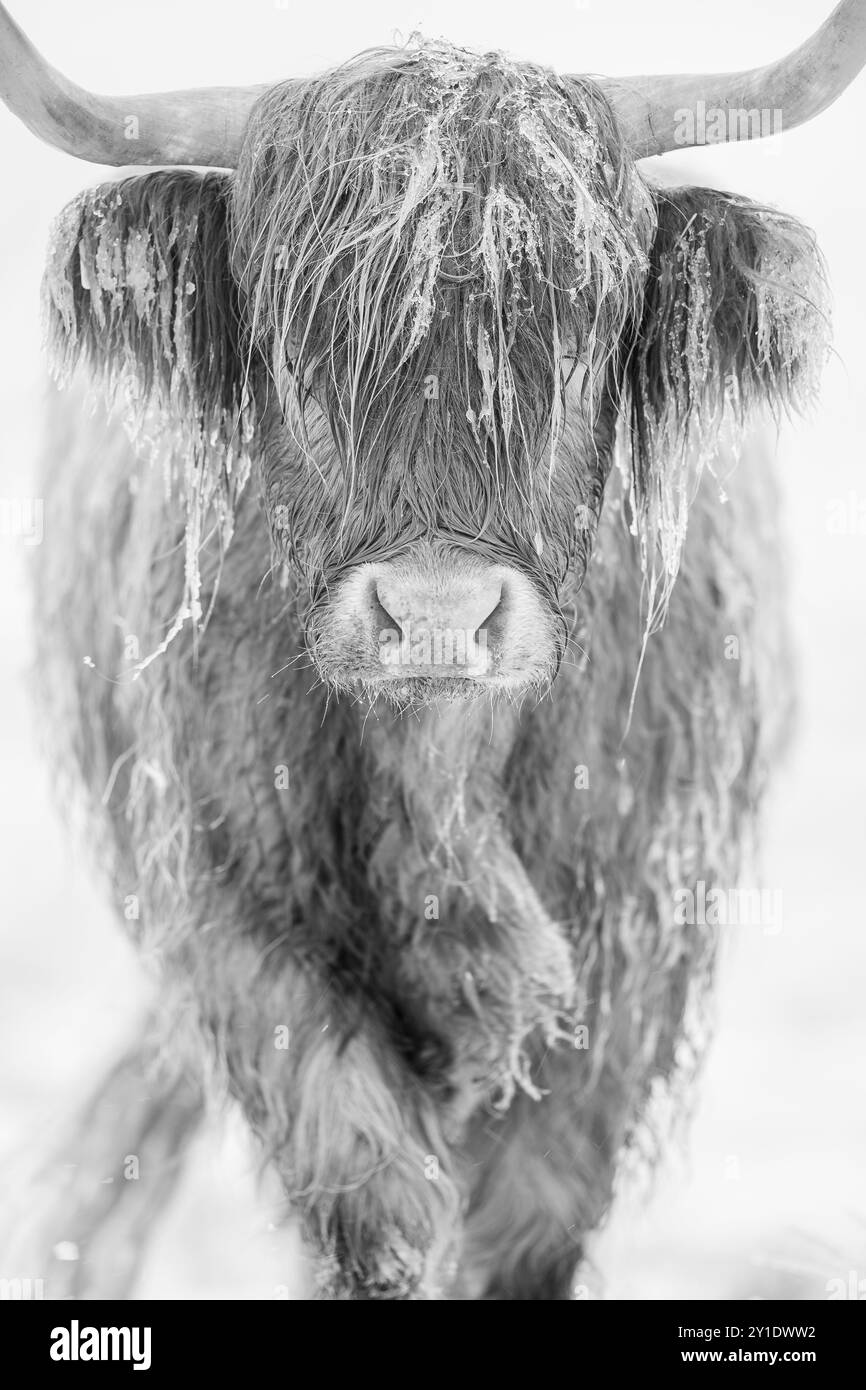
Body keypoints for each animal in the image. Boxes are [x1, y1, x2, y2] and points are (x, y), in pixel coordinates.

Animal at [1, 0, 863, 1300]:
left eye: (583, 328)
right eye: (293, 344)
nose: (438, 613)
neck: (444, 771)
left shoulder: (636, 958)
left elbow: (527, 1221)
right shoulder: (231, 915)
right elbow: (373, 1200)